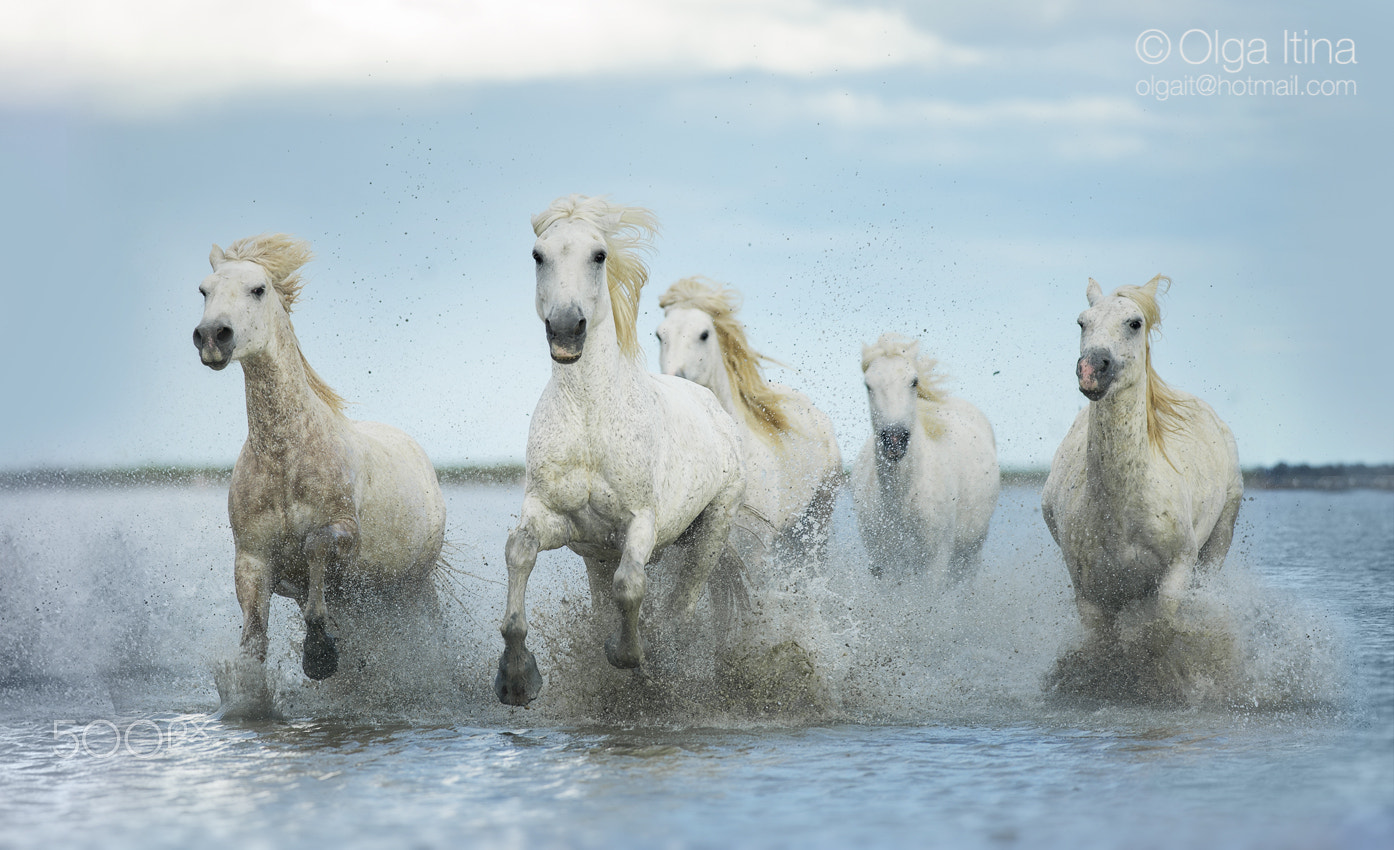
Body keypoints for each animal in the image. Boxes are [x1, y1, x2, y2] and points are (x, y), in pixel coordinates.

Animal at [193, 232, 443, 682]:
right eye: (204, 290)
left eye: (258, 289)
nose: (211, 337)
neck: (285, 455)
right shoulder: (252, 559)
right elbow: (253, 642)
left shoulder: (346, 532)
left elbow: (315, 546)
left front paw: (318, 651)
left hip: (414, 585)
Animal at [496, 195, 747, 705]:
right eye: (538, 255)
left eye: (599, 255)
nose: (566, 328)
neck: (590, 419)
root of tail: (716, 410)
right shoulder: (556, 518)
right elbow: (519, 552)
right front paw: (515, 677)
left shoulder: (640, 523)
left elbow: (630, 586)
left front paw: (627, 654)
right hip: (598, 555)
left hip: (710, 531)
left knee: (683, 606)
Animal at [847, 331, 1003, 582]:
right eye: (868, 385)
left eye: (913, 381)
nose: (894, 440)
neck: (901, 496)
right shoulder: (883, 563)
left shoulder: (935, 562)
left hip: (971, 553)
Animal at [1042, 274, 1249, 632]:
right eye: (1082, 322)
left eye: (1135, 323)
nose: (1091, 370)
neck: (1122, 509)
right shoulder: (1090, 597)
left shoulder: (1174, 578)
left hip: (1219, 538)